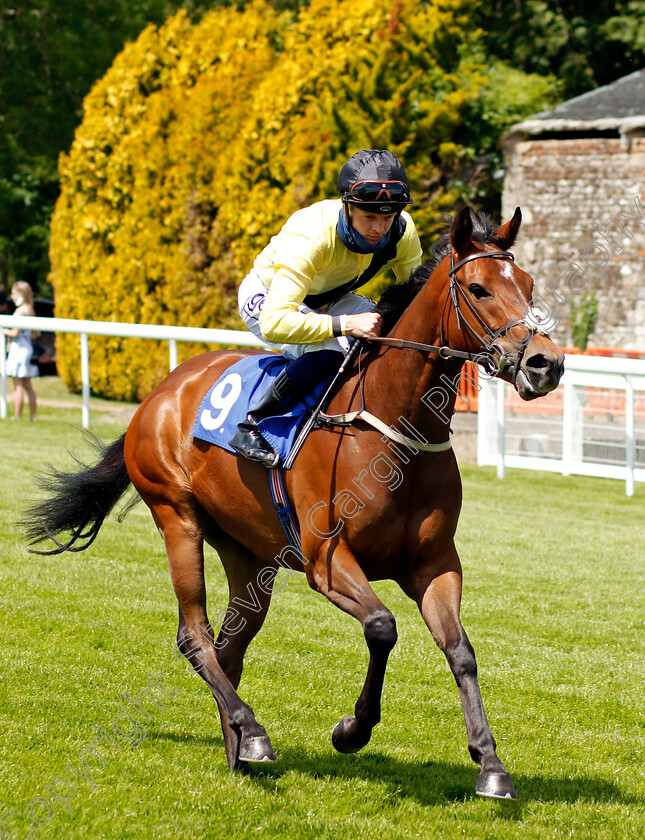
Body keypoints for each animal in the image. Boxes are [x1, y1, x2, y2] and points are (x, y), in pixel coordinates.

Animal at [20, 207, 564, 796]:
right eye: (479, 288)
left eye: (529, 284)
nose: (545, 363)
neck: (393, 427)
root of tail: (160, 393)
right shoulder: (327, 560)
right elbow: (382, 627)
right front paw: (352, 729)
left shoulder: (435, 563)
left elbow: (461, 651)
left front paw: (490, 763)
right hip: (177, 517)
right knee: (195, 637)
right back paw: (253, 733)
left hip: (247, 554)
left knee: (228, 648)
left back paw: (239, 749)